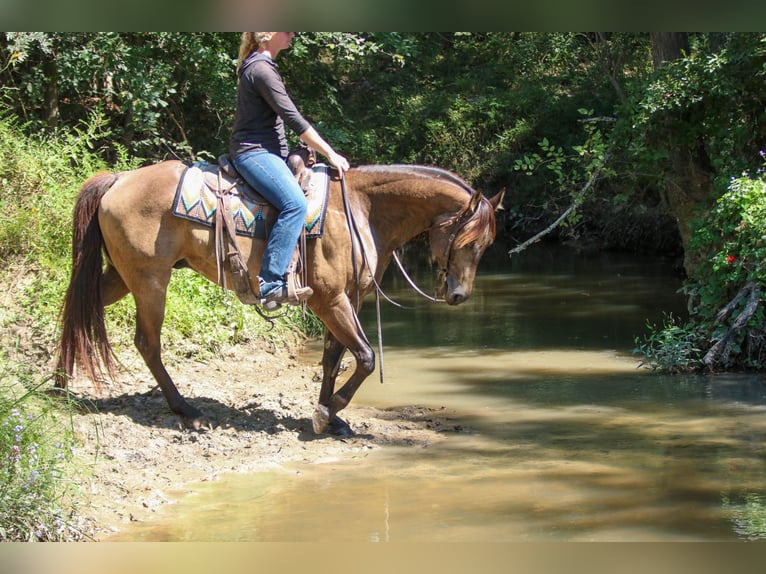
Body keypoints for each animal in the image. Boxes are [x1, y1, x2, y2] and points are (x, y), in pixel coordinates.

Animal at [55, 158, 503, 435]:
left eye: (486, 244)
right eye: (469, 240)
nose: (459, 294)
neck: (361, 211)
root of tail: (119, 179)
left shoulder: (347, 299)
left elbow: (333, 358)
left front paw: (331, 418)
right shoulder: (329, 299)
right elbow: (364, 357)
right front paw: (327, 413)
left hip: (124, 276)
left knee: (76, 310)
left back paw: (58, 386)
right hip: (150, 281)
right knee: (147, 343)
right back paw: (188, 412)